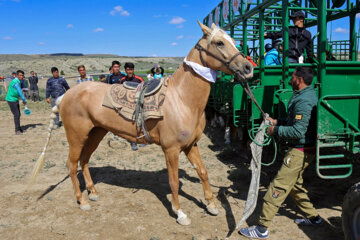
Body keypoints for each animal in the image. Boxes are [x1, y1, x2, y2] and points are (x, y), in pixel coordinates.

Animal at [31, 21, 253, 226]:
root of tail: (66, 95)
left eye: (233, 41)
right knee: (71, 164)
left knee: (84, 160)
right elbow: (173, 182)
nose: (248, 68)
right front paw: (180, 213)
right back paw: (82, 201)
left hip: (96, 133)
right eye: (219, 42)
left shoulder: (191, 145)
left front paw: (211, 205)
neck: (182, 99)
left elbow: (203, 172)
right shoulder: (171, 150)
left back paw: (93, 193)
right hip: (76, 137)